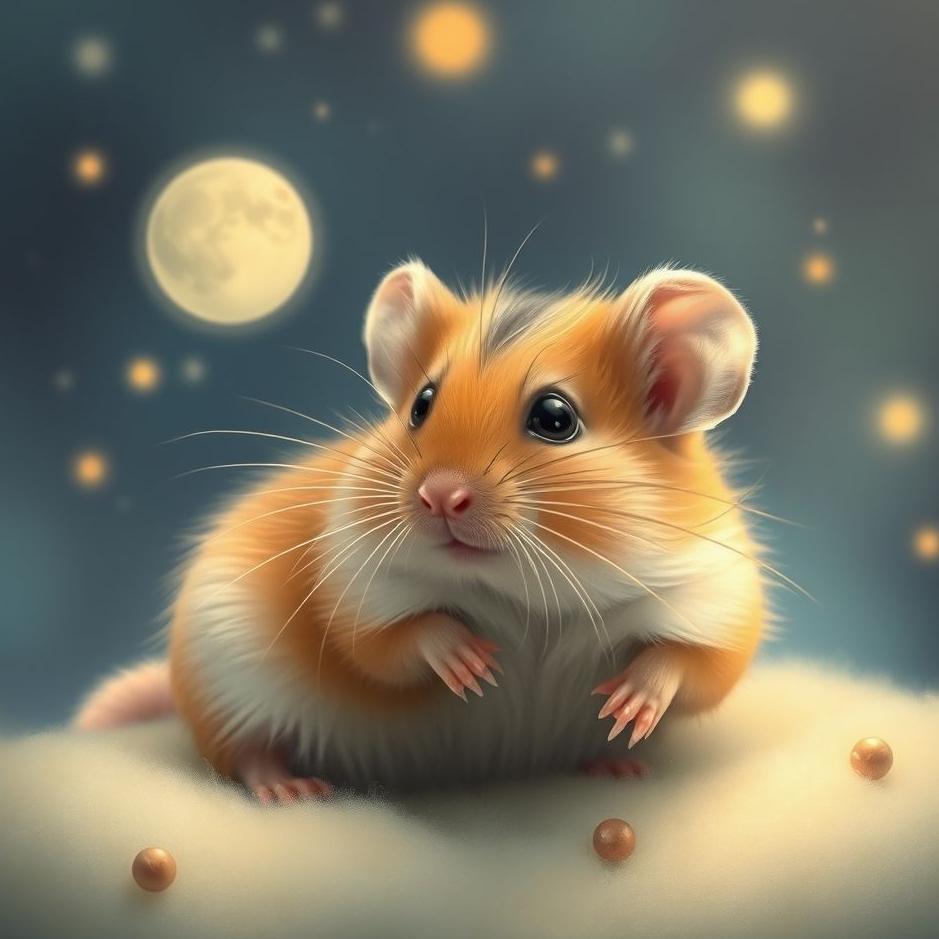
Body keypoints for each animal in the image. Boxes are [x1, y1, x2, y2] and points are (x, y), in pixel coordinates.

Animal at [75, 260, 767, 803]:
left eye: (555, 417)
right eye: (421, 403)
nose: (439, 496)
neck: (536, 601)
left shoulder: (718, 595)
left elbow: (690, 663)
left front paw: (626, 705)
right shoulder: (360, 583)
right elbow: (396, 639)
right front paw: (474, 667)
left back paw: (617, 766)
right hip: (223, 669)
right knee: (243, 751)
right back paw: (289, 789)